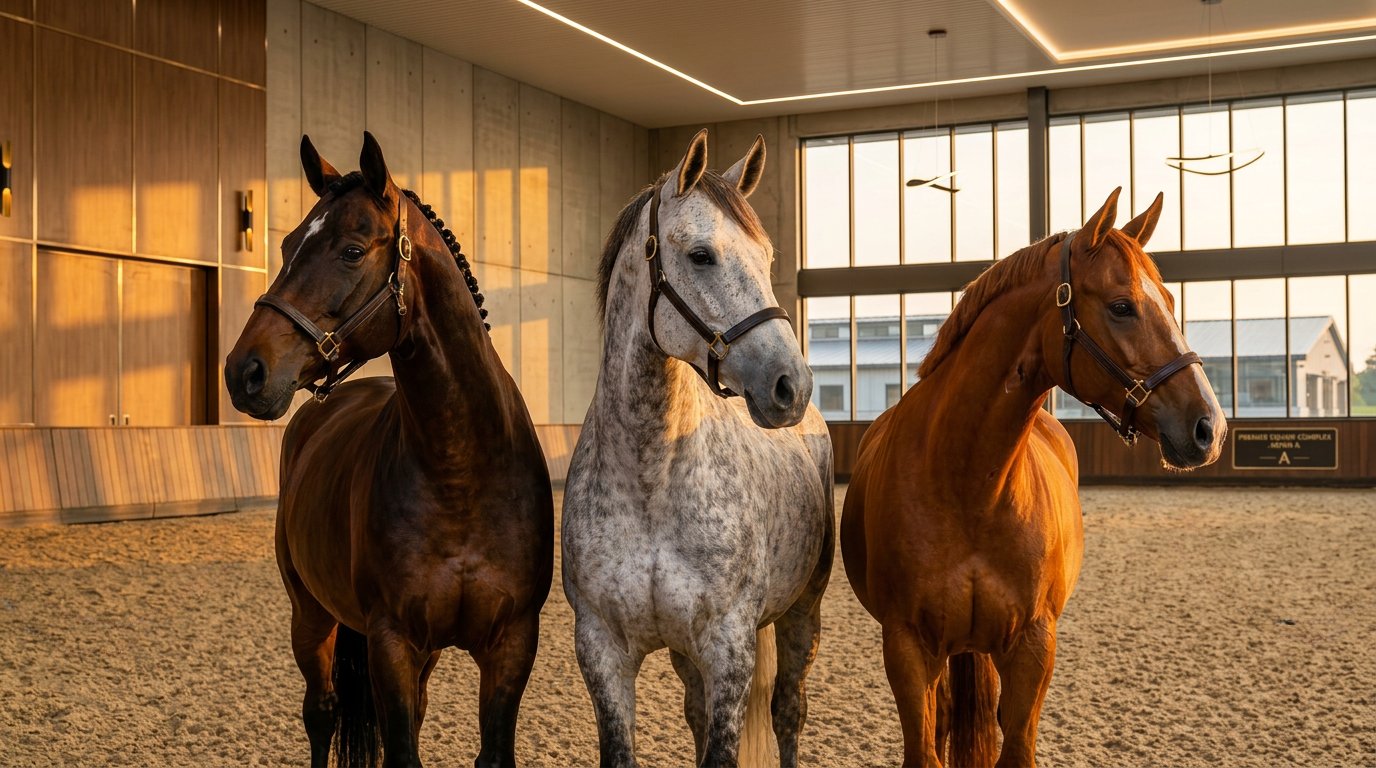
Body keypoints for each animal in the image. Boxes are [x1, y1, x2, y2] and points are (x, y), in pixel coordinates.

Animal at [223, 133, 553, 768]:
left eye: (352, 251)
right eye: (286, 245)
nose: (244, 371)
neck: (459, 471)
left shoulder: (510, 645)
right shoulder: (391, 643)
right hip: (311, 615)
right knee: (321, 711)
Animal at [561, 129, 834, 768]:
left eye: (767, 259)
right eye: (701, 255)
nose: (791, 385)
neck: (651, 480)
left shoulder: (728, 649)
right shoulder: (603, 652)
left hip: (802, 615)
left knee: (788, 711)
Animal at [841, 188, 1227, 768]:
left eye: (1170, 302)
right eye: (1122, 306)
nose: (1209, 427)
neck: (970, 488)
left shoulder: (1031, 648)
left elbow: (1017, 742)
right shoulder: (907, 648)